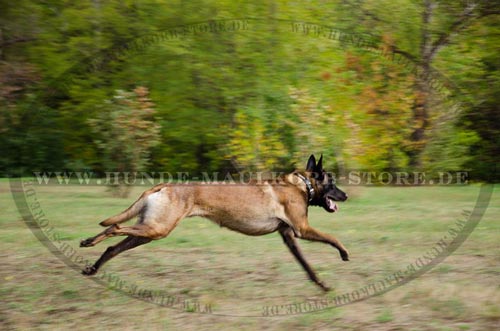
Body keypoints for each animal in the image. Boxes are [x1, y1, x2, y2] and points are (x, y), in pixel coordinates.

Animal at [81, 155, 348, 290]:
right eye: (332, 182)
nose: (345, 196)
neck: (303, 184)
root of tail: (162, 185)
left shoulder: (289, 236)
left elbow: (306, 265)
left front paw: (322, 285)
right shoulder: (302, 230)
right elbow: (333, 237)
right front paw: (344, 253)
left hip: (148, 230)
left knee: (113, 247)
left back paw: (92, 267)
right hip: (157, 229)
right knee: (114, 227)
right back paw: (89, 241)